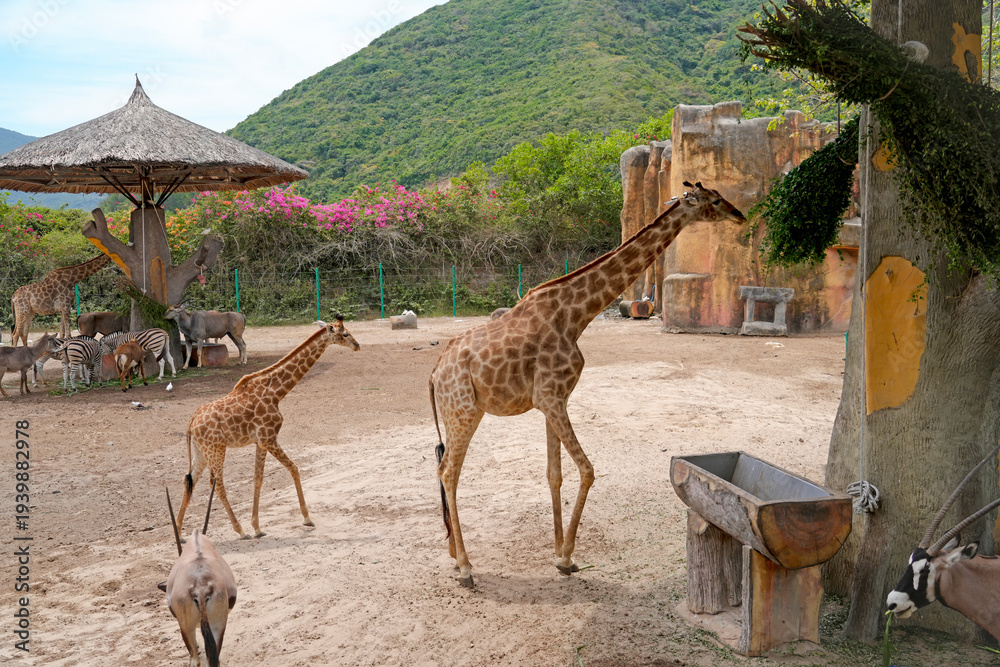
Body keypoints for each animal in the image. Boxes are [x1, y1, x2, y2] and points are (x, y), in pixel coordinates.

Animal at [174, 318, 360, 539]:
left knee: (189, 480)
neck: (277, 392)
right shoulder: (269, 438)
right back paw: (240, 530)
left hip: (201, 451)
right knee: (216, 483)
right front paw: (307, 518)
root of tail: (191, 423)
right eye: (345, 334)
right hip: (216, 449)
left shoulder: (260, 442)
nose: (357, 345)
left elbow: (258, 479)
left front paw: (258, 527)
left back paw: (179, 532)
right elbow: (294, 468)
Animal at [430, 182, 746, 586]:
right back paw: (466, 568)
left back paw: (455, 556)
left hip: (458, 413)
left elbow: (555, 475)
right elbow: (588, 470)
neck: (576, 315)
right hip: (464, 412)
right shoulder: (552, 397)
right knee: (448, 472)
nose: (740, 215)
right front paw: (566, 557)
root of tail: (435, 373)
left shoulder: (550, 400)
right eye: (715, 201)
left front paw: (558, 552)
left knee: (445, 471)